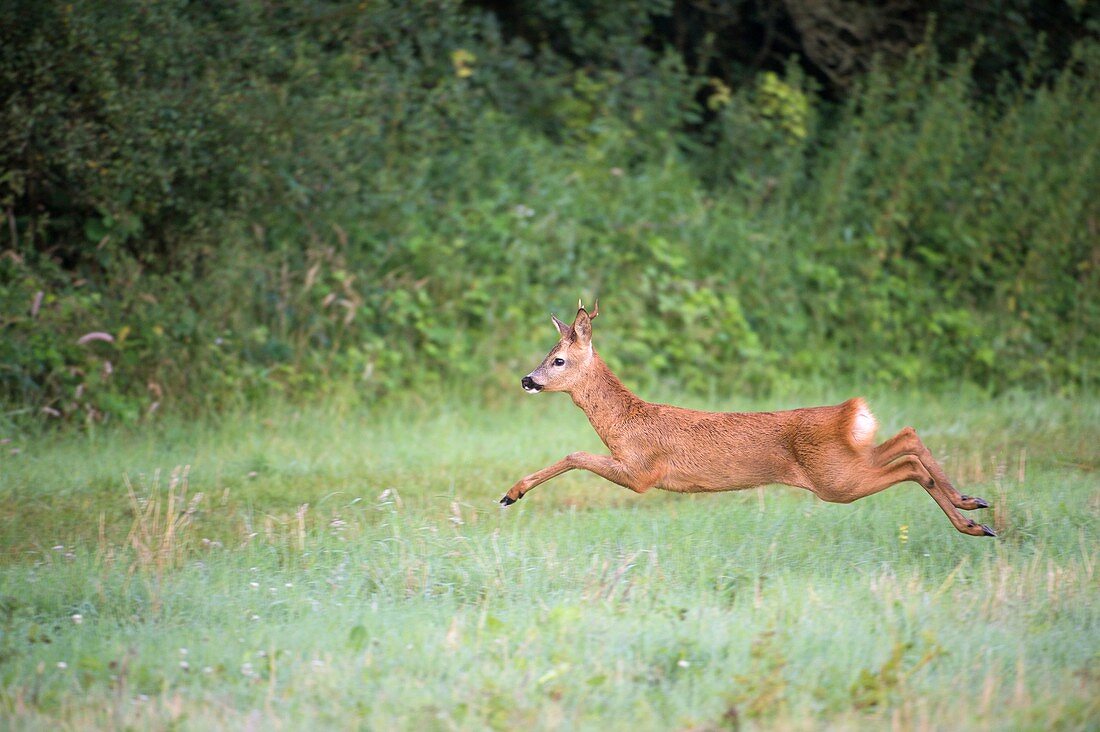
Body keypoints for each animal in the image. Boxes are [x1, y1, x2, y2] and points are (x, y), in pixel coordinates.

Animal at [501, 299, 998, 537]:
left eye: (559, 359)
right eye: (547, 353)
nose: (527, 379)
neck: (625, 423)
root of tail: (846, 412)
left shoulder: (644, 472)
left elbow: (575, 454)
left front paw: (511, 494)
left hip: (835, 479)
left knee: (907, 462)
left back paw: (973, 519)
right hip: (845, 461)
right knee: (908, 439)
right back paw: (974, 507)